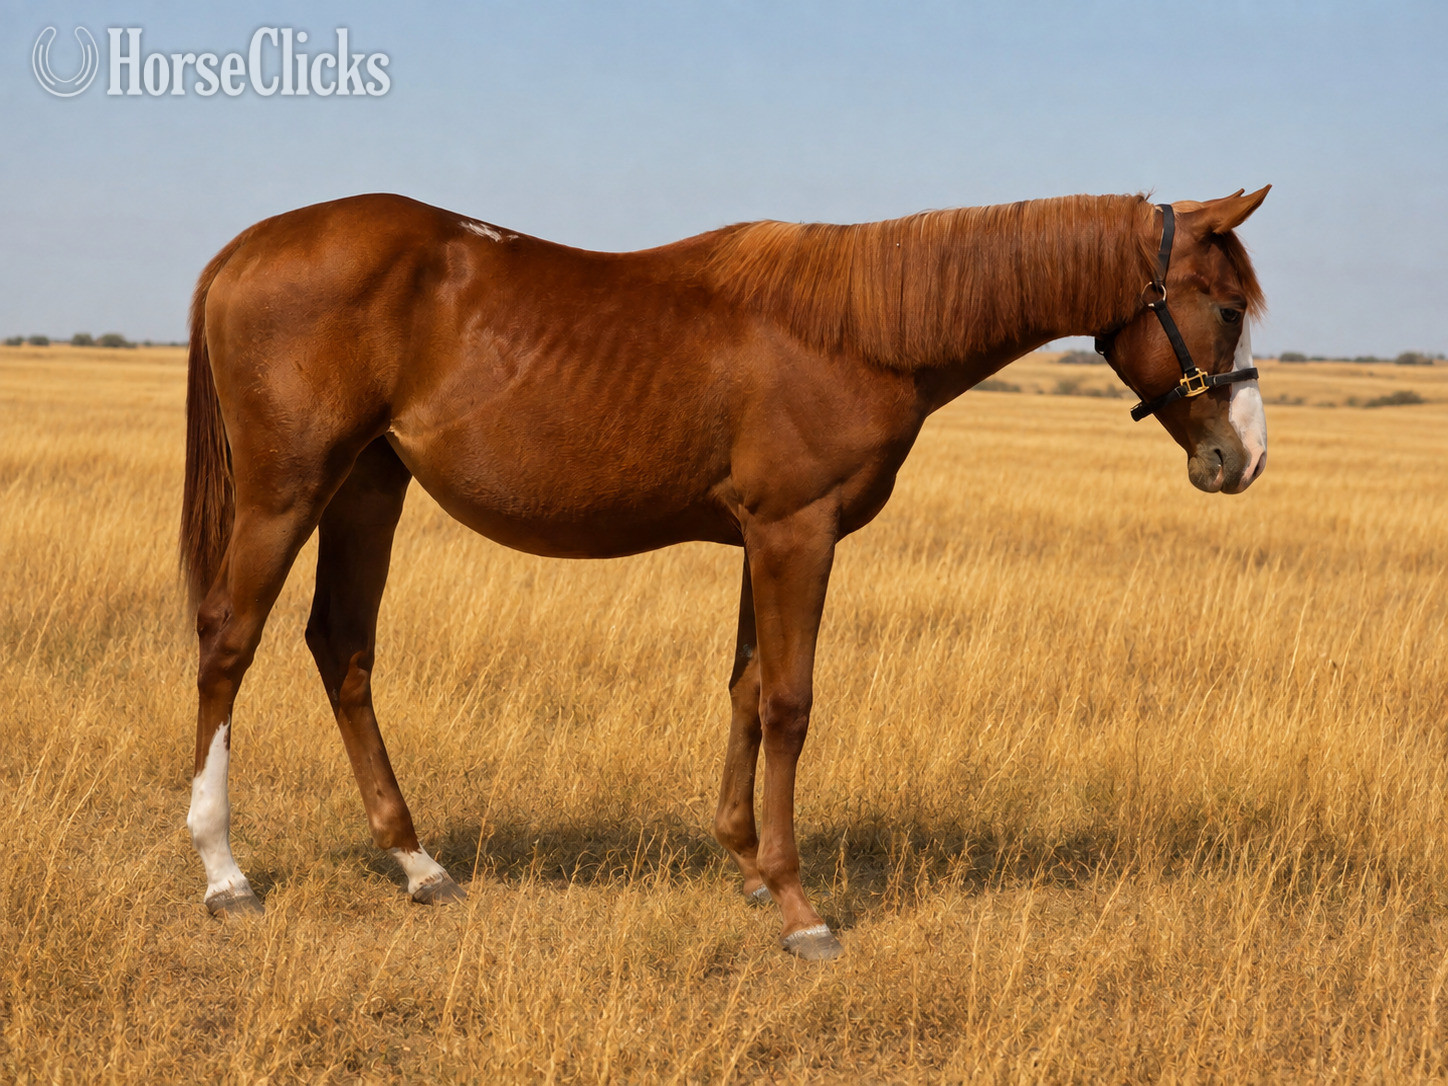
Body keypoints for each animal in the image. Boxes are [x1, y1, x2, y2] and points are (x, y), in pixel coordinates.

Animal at [180, 187, 1269, 960]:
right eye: (1222, 307)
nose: (1242, 460)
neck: (854, 328)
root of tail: (244, 249)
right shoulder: (797, 534)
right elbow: (788, 702)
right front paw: (797, 906)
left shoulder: (759, 539)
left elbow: (745, 689)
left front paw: (745, 864)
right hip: (288, 491)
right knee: (229, 644)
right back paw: (225, 875)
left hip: (369, 485)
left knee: (343, 648)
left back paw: (417, 865)